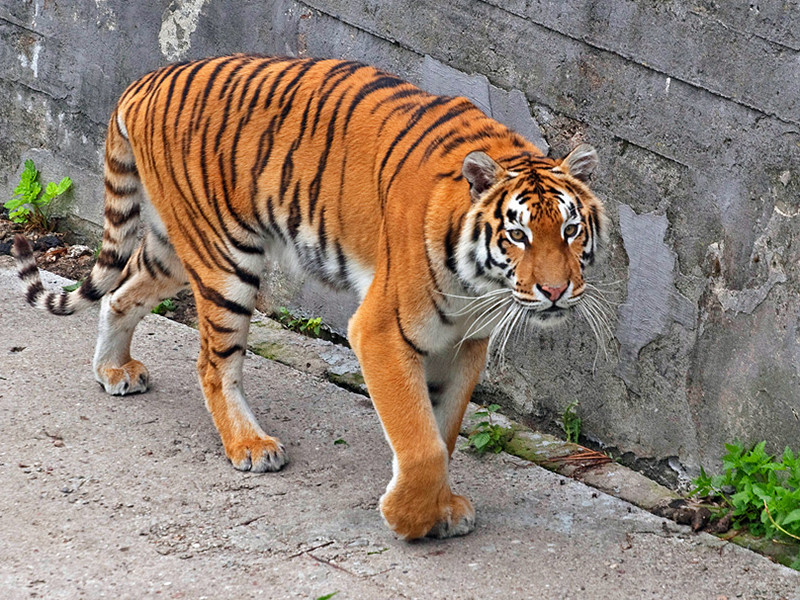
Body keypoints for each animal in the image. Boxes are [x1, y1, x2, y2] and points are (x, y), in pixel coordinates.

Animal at [12, 55, 608, 540]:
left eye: (571, 230)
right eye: (518, 235)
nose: (556, 290)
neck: (478, 287)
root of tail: (145, 81)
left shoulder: (465, 343)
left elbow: (443, 429)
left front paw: (441, 509)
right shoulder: (381, 331)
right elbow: (419, 440)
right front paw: (410, 520)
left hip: (172, 250)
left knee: (120, 294)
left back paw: (113, 371)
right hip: (225, 261)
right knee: (212, 363)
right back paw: (250, 447)